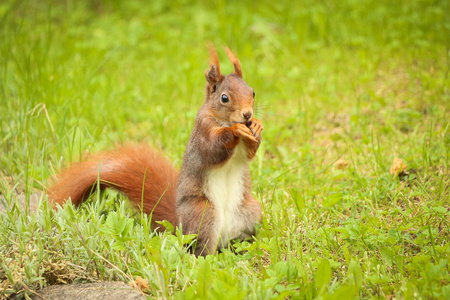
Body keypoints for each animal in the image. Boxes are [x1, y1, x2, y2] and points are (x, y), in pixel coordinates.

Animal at [48, 44, 264, 255]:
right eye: (224, 98)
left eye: (252, 92)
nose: (247, 114)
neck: (223, 121)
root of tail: (179, 226)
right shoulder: (202, 132)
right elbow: (213, 150)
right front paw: (235, 131)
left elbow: (249, 153)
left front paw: (257, 126)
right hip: (203, 214)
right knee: (201, 250)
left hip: (250, 212)